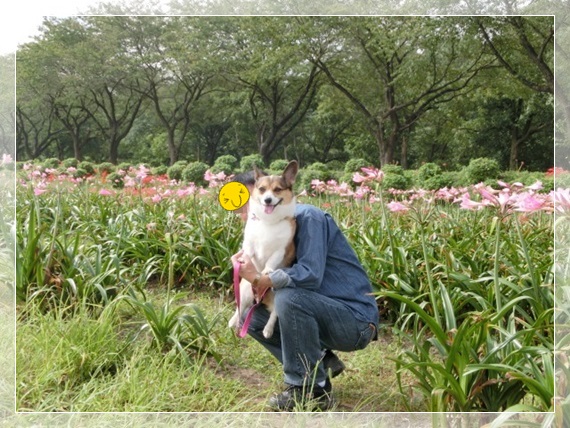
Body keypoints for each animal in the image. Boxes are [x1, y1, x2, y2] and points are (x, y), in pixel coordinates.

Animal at [226, 160, 298, 338]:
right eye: (262, 189)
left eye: (277, 189)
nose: (267, 200)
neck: (268, 221)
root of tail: (262, 298)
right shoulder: (250, 244)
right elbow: (248, 253)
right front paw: (242, 260)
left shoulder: (281, 250)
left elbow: (271, 261)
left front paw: (266, 271)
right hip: (245, 290)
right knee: (240, 308)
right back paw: (233, 322)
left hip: (278, 296)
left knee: (274, 314)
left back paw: (268, 329)